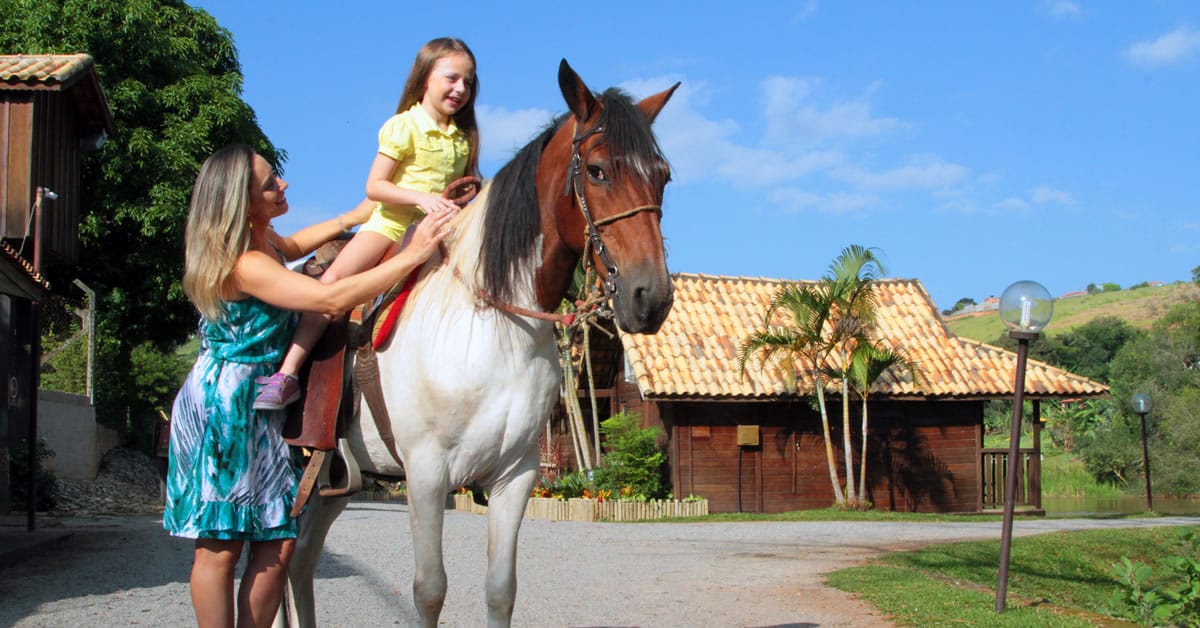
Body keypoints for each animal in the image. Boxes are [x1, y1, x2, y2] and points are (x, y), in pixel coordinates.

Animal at [278, 59, 678, 628]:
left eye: (662, 176)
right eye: (598, 170)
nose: (651, 298)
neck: (490, 328)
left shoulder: (515, 477)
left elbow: (501, 589)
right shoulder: (425, 475)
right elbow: (429, 590)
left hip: (333, 481)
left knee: (301, 562)